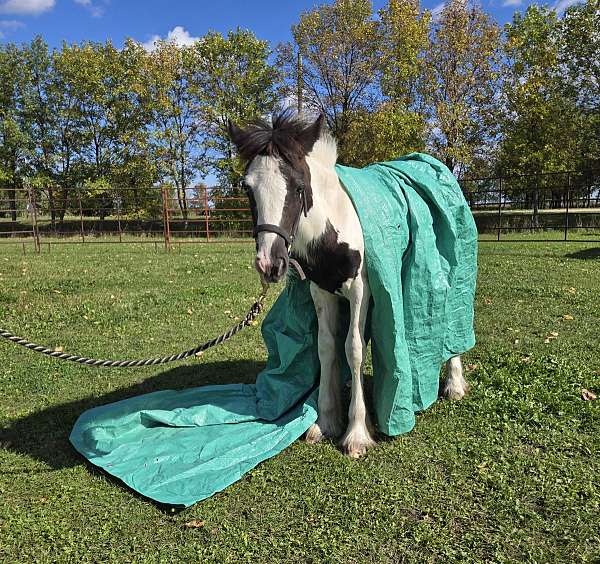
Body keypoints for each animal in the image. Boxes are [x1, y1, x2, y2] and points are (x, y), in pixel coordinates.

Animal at [227, 111, 466, 458]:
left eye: (299, 187)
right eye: (247, 187)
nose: (270, 264)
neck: (333, 226)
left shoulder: (360, 292)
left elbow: (353, 349)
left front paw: (356, 432)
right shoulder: (322, 291)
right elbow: (326, 347)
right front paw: (325, 421)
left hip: (449, 275)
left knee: (453, 317)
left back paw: (454, 384)